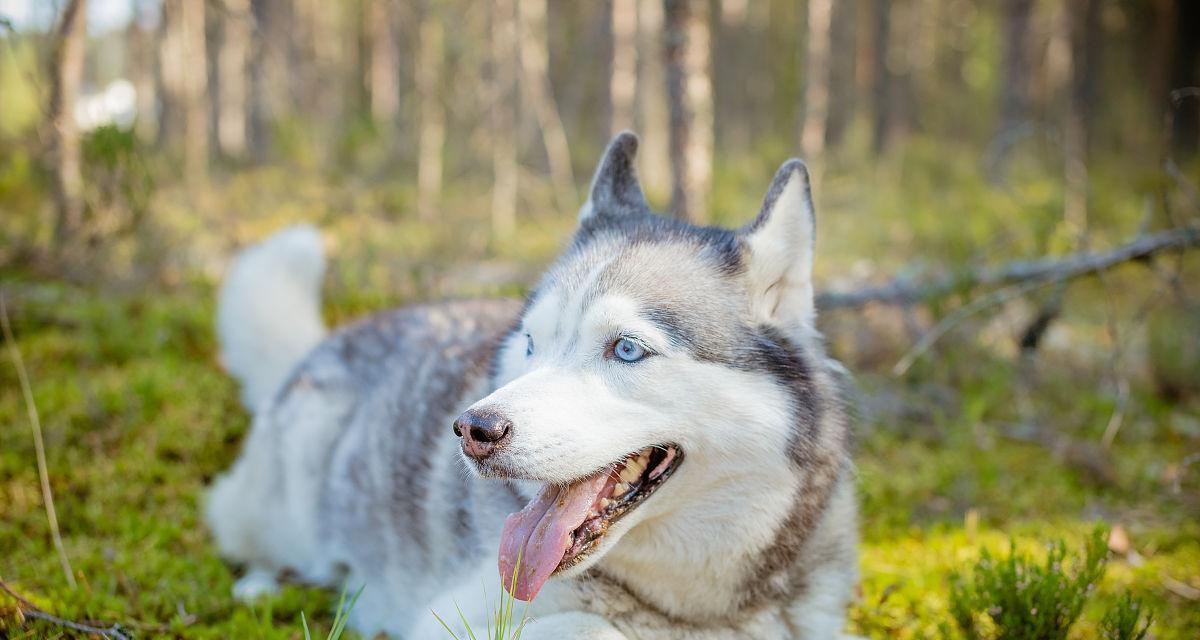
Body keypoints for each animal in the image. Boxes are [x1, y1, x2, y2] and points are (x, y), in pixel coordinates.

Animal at [208, 132, 864, 633]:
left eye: (627, 349)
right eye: (530, 343)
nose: (473, 429)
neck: (693, 611)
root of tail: (320, 343)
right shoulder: (454, 618)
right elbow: (598, 629)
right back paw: (262, 586)